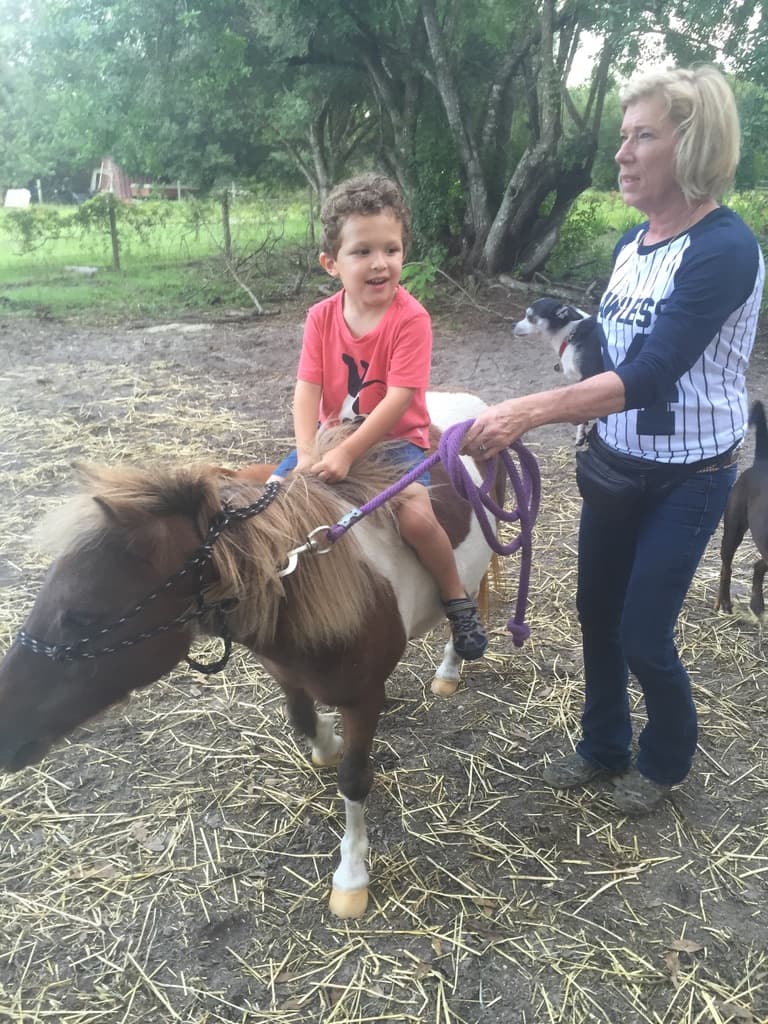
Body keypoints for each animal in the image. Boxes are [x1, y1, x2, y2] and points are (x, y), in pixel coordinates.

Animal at [0, 391, 504, 919]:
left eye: (80, 617)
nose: (6, 730)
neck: (308, 583)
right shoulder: (287, 674)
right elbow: (304, 721)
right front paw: (326, 743)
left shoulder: (365, 698)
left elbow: (353, 780)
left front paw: (351, 877)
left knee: (464, 599)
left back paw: (452, 664)